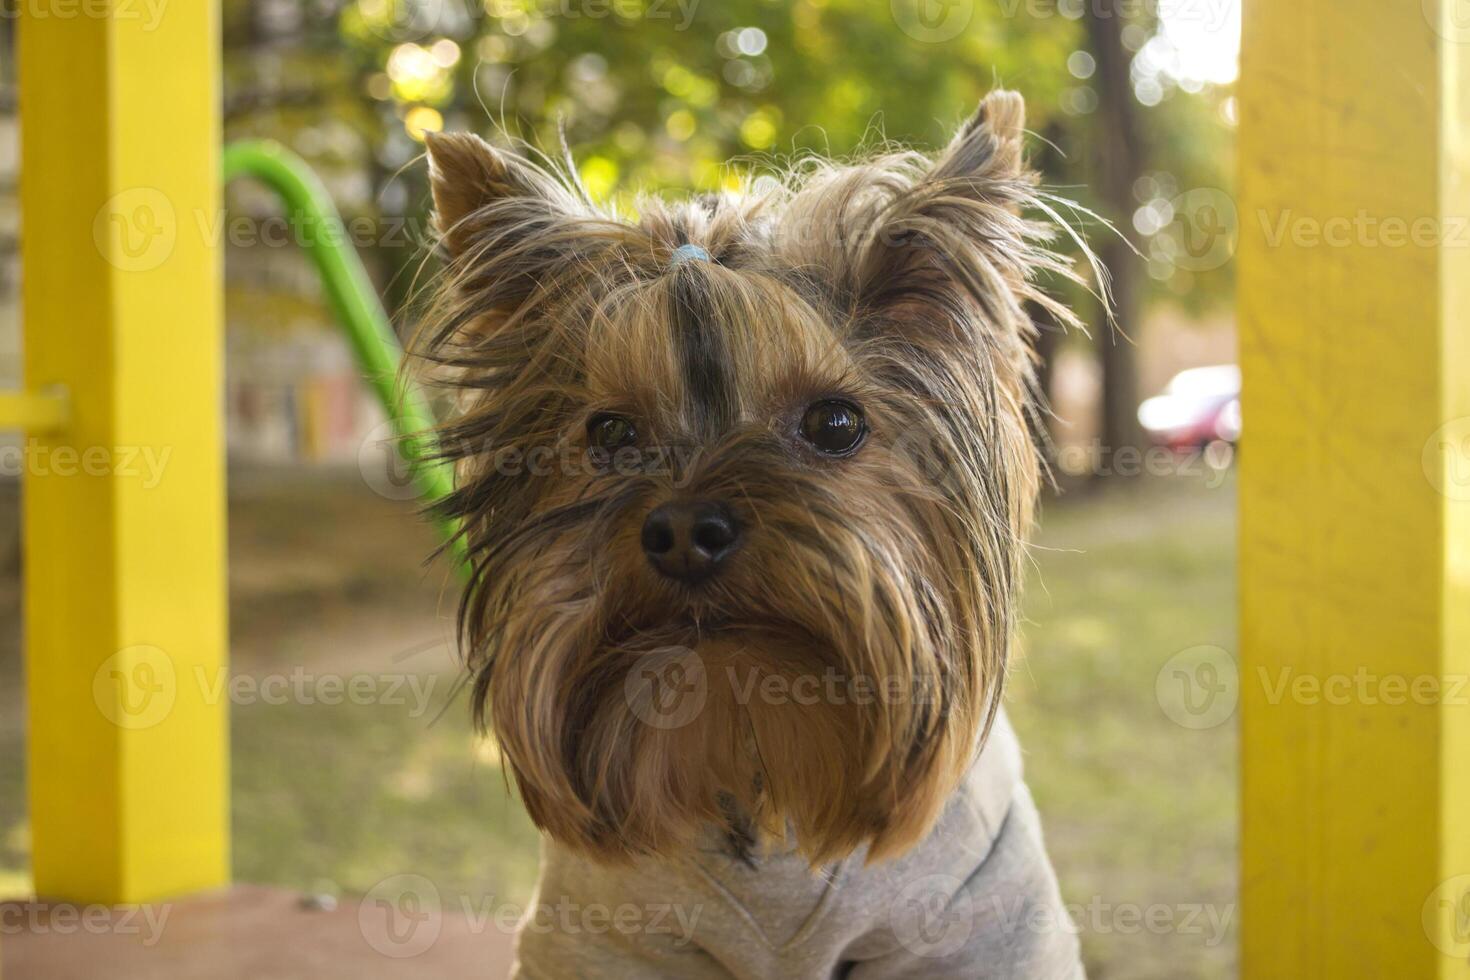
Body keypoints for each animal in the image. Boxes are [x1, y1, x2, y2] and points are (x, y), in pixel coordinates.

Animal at [420, 88, 1087, 975]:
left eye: (835, 422)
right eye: (610, 434)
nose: (682, 528)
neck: (752, 734)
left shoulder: (975, 922)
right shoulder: (605, 934)